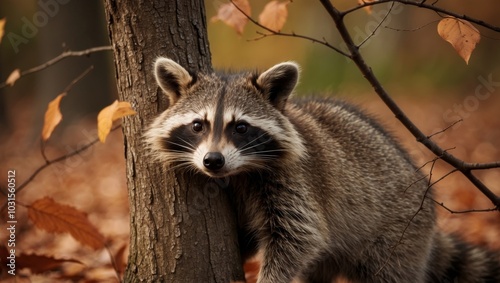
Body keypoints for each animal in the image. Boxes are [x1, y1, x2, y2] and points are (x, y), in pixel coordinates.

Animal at [146, 57, 500, 283]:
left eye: (241, 127)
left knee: (392, 273)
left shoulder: (293, 183)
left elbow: (299, 238)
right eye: (198, 125)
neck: (238, 171)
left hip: (399, 234)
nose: (213, 161)